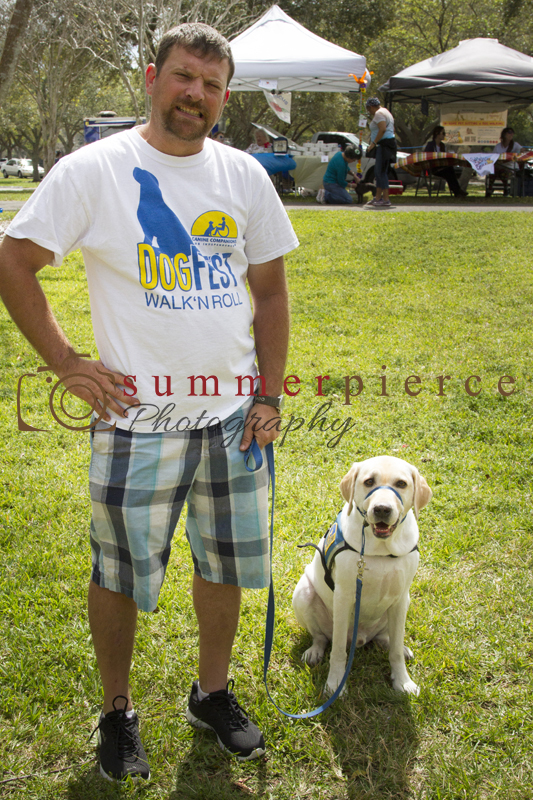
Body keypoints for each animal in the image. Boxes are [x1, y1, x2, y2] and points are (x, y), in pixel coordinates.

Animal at [292, 456, 432, 697]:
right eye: (369, 482)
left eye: (401, 484)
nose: (382, 509)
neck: (381, 549)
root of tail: (359, 638)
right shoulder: (343, 597)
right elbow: (338, 650)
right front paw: (335, 684)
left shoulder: (400, 598)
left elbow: (395, 650)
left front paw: (402, 681)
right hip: (303, 592)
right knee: (321, 637)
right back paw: (314, 652)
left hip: (402, 605)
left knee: (387, 638)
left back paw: (394, 645)